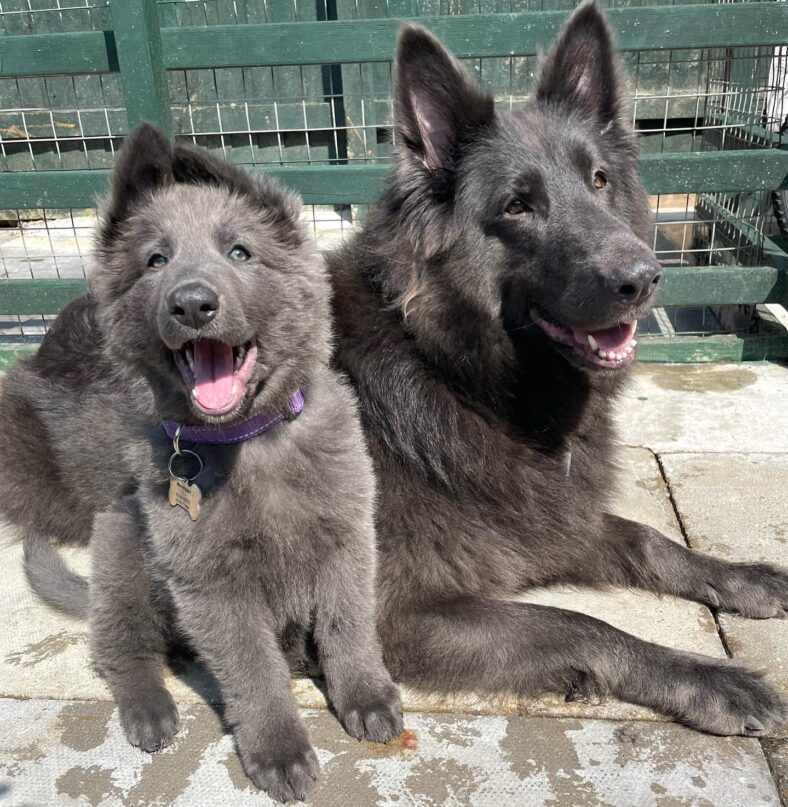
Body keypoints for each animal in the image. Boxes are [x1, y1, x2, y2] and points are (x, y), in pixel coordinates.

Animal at [0, 123, 404, 804]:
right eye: (155, 261)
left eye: (240, 253)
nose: (191, 305)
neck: (249, 441)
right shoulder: (211, 585)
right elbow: (254, 671)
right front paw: (277, 748)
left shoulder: (348, 542)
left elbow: (348, 628)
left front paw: (365, 696)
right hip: (124, 560)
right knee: (122, 652)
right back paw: (149, 711)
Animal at [326, 1, 788, 740]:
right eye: (518, 206)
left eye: (599, 180)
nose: (644, 280)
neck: (457, 375)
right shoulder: (400, 617)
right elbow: (583, 624)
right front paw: (712, 679)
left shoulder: (553, 517)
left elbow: (651, 541)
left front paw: (742, 575)